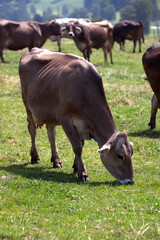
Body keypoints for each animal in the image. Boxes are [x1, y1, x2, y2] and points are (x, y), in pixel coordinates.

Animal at [18, 47, 134, 185]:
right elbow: (77, 147)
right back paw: (35, 157)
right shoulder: (65, 119)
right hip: (27, 105)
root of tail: (33, 50)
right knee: (32, 129)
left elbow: (81, 144)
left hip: (49, 113)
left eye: (132, 153)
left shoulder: (82, 124)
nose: (130, 180)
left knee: (51, 134)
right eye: (120, 156)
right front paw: (82, 173)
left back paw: (56, 160)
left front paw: (76, 166)